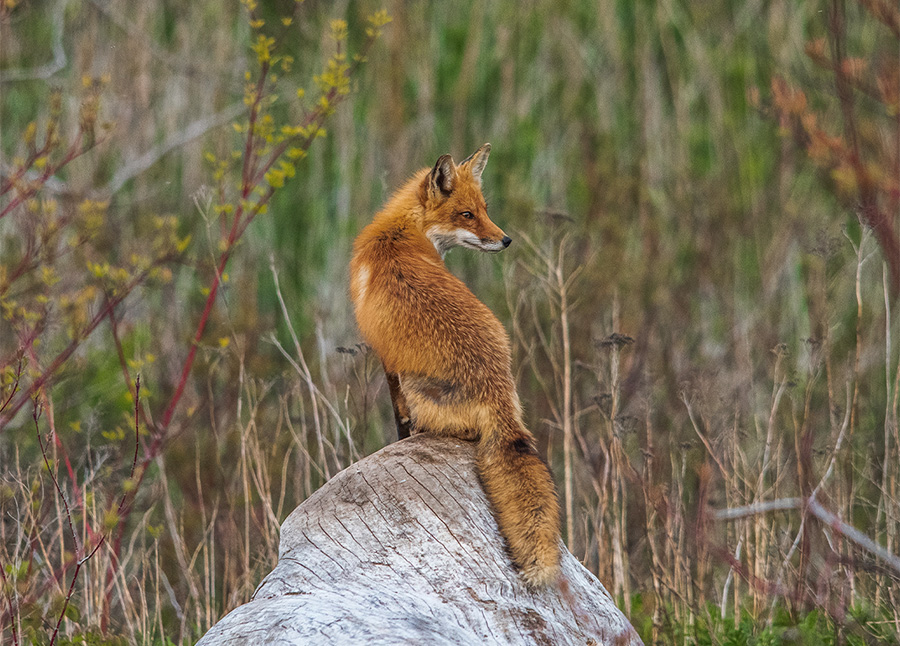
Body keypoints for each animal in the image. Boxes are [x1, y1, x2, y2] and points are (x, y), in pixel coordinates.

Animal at [348, 144, 560, 588]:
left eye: (483, 210)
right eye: (467, 214)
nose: (506, 240)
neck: (402, 234)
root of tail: (497, 393)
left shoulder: (388, 361)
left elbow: (398, 419)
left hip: (417, 386)